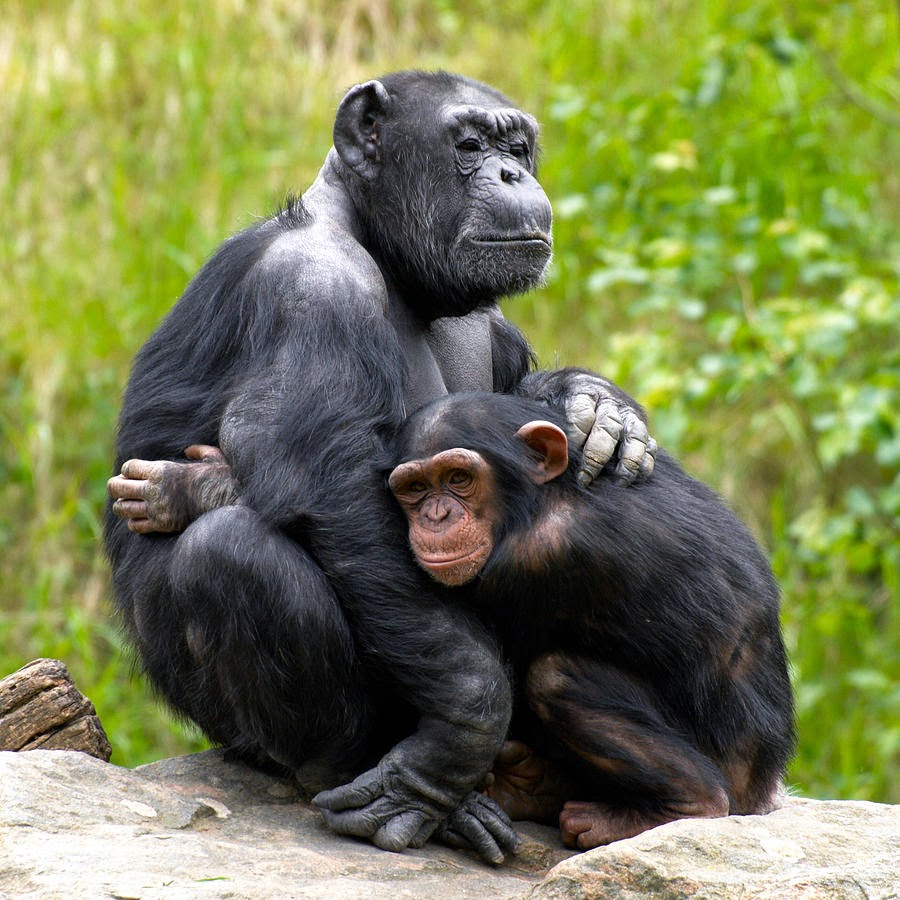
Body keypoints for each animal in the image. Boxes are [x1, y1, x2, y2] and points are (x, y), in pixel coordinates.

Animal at [105, 68, 652, 856]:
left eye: (517, 146)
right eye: (469, 145)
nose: (511, 173)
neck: (384, 253)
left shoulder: (486, 320)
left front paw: (595, 407)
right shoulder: (313, 291)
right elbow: (339, 496)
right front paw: (452, 744)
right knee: (230, 555)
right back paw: (387, 781)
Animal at [388, 386, 796, 852]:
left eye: (458, 478)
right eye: (416, 487)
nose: (435, 516)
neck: (539, 499)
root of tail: (766, 792)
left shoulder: (535, 559)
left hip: (730, 779)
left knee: (555, 678)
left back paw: (679, 805)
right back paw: (533, 785)